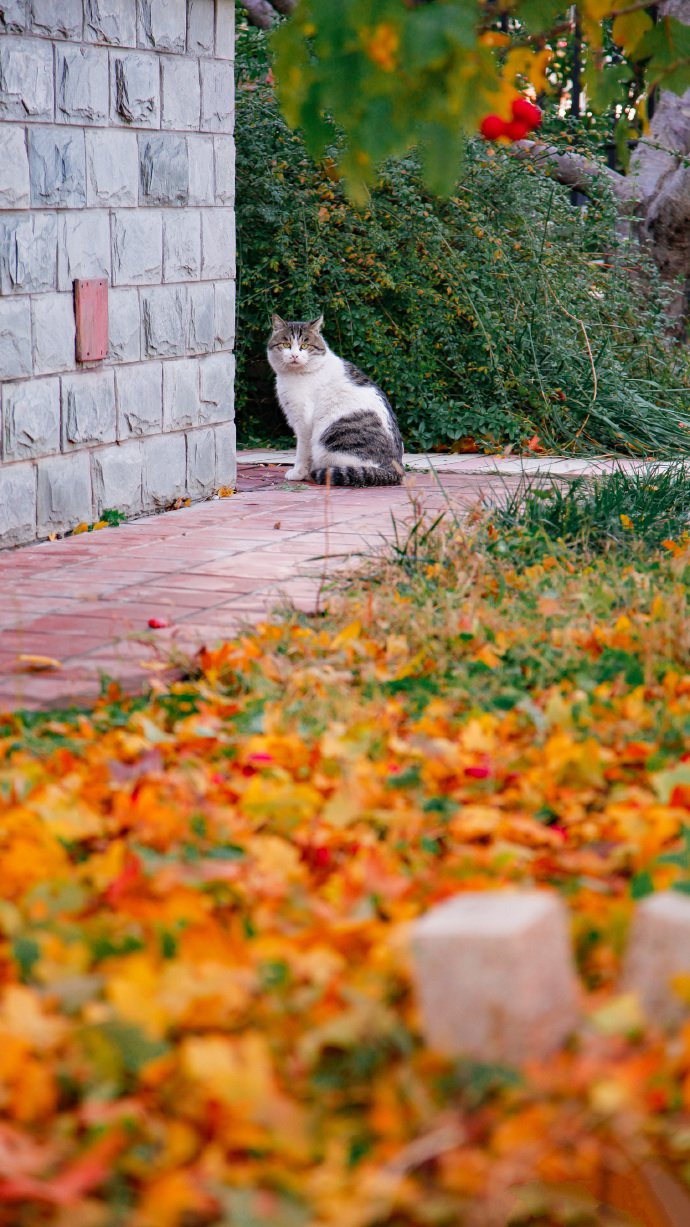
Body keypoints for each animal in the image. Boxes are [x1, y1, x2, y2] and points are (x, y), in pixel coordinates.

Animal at [263, 314, 402, 485]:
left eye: (305, 345)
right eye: (286, 344)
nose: (294, 355)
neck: (295, 375)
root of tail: (395, 470)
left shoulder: (304, 422)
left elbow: (302, 452)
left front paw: (298, 473)